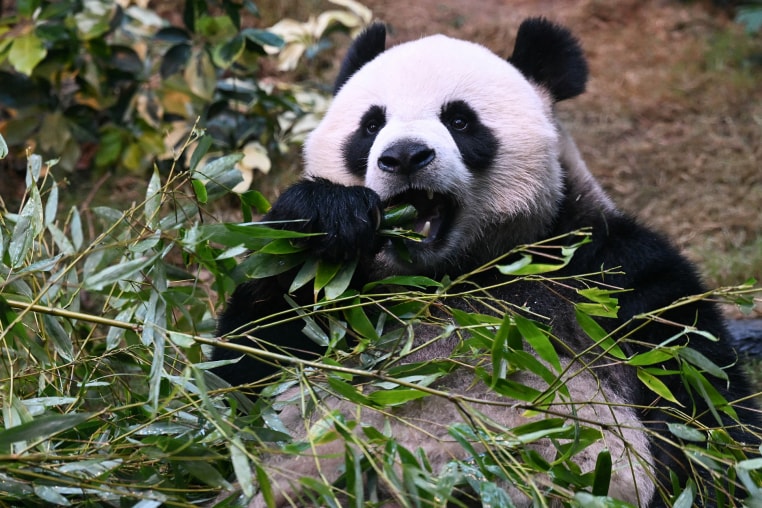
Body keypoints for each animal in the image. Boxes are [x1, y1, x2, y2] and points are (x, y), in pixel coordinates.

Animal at [211, 17, 756, 508]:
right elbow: (242, 376)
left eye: (459, 119)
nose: (404, 156)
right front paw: (327, 214)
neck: (449, 274)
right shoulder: (341, 299)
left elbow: (704, 411)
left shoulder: (609, 275)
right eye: (371, 125)